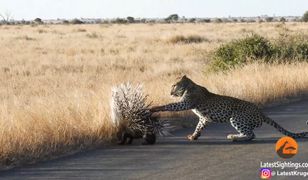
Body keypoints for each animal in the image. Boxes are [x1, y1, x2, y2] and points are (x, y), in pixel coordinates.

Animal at [150, 75, 308, 141]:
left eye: (173, 85)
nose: (170, 92)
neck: (189, 86)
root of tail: (260, 112)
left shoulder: (185, 104)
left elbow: (170, 106)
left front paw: (154, 108)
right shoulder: (203, 118)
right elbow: (199, 126)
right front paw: (194, 136)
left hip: (236, 118)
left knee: (251, 135)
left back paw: (234, 137)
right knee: (250, 134)